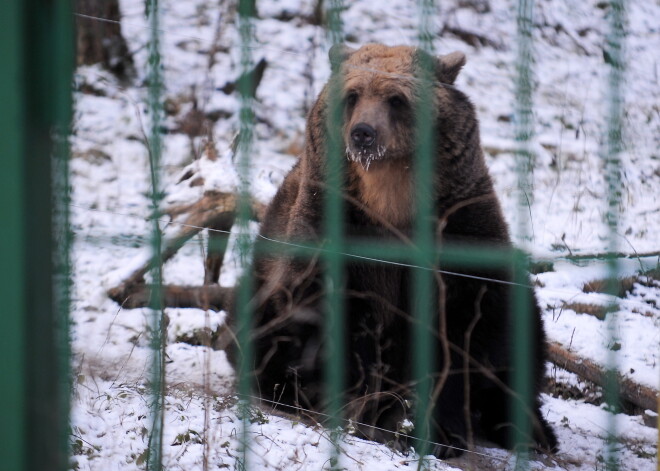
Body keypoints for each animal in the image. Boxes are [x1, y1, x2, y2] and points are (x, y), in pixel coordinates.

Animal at [227, 43, 556, 458]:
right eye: (353, 95)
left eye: (396, 99)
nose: (363, 133)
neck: (389, 195)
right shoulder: (335, 230)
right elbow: (339, 321)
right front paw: (366, 410)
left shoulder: (459, 228)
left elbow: (464, 327)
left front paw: (438, 430)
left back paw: (529, 430)